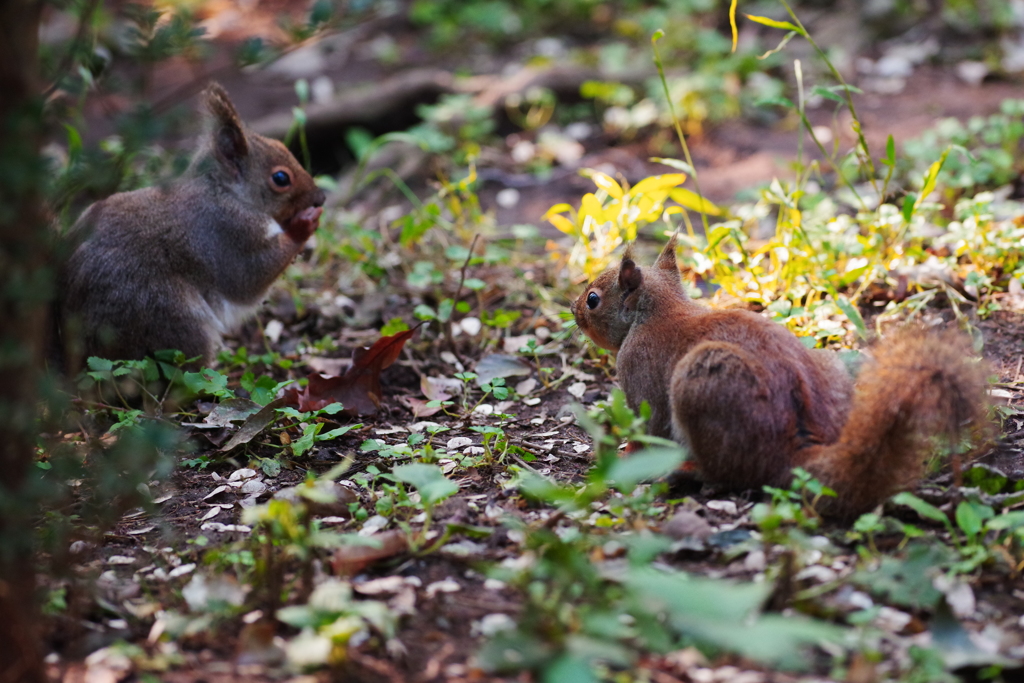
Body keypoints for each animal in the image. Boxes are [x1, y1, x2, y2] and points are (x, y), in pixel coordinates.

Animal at [55, 83, 323, 368]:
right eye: (281, 178)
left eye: (282, 144)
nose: (321, 197)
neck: (223, 191)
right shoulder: (228, 234)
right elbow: (250, 276)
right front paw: (304, 224)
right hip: (170, 318)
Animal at [569, 236, 991, 518]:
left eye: (593, 299)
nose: (572, 309)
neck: (657, 312)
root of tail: (796, 454)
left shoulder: (639, 372)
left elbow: (648, 427)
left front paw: (623, 458)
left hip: (704, 383)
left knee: (727, 473)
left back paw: (686, 471)